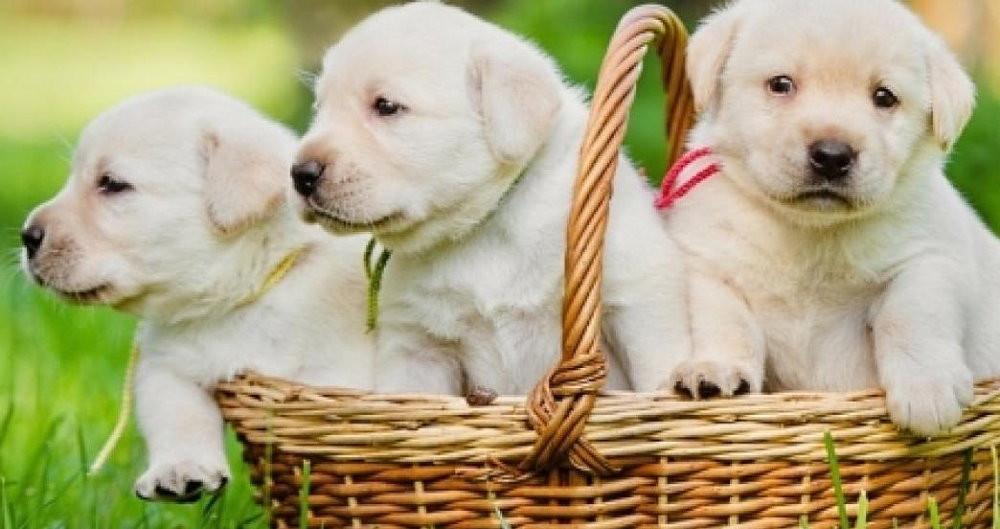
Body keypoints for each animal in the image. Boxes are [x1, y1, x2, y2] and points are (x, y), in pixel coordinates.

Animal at [21, 86, 374, 501]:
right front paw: (179, 471)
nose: (27, 237)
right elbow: (177, 414)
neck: (237, 298)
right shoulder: (166, 364)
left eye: (112, 183)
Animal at [291, 2, 691, 395]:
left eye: (386, 106)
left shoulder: (638, 296)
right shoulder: (416, 344)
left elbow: (655, 370)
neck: (482, 227)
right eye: (319, 107)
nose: (300, 175)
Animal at [663, 0, 994, 436]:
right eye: (781, 84)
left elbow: (910, 313)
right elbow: (726, 321)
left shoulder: (930, 258)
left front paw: (927, 388)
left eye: (884, 96)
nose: (833, 156)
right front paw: (716, 369)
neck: (810, 231)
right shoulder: (708, 264)